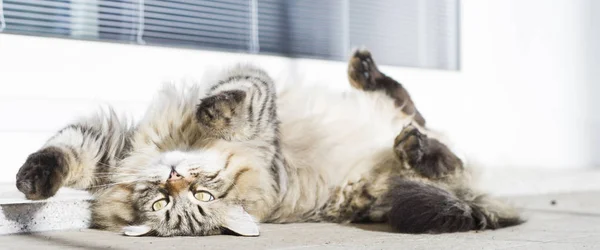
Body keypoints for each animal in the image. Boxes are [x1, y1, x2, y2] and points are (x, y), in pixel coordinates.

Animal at [12, 48, 520, 236]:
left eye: (202, 194)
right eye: (159, 204)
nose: (172, 178)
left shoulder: (257, 108)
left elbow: (238, 94)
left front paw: (211, 110)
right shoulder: (109, 149)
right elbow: (64, 152)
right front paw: (32, 183)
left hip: (405, 154)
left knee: (427, 131)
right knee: (418, 120)